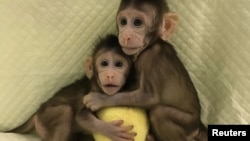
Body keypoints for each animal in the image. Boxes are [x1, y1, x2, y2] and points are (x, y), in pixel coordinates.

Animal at [8, 34, 138, 141]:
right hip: (45, 117)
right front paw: (110, 130)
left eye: (118, 64)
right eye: (104, 63)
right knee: (65, 110)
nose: (110, 75)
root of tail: (38, 112)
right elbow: (81, 116)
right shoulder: (90, 93)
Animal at [83, 0, 208, 140]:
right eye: (123, 22)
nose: (126, 36)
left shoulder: (150, 58)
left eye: (137, 22)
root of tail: (199, 126)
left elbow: (150, 96)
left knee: (160, 113)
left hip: (187, 125)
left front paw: (100, 99)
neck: (151, 45)